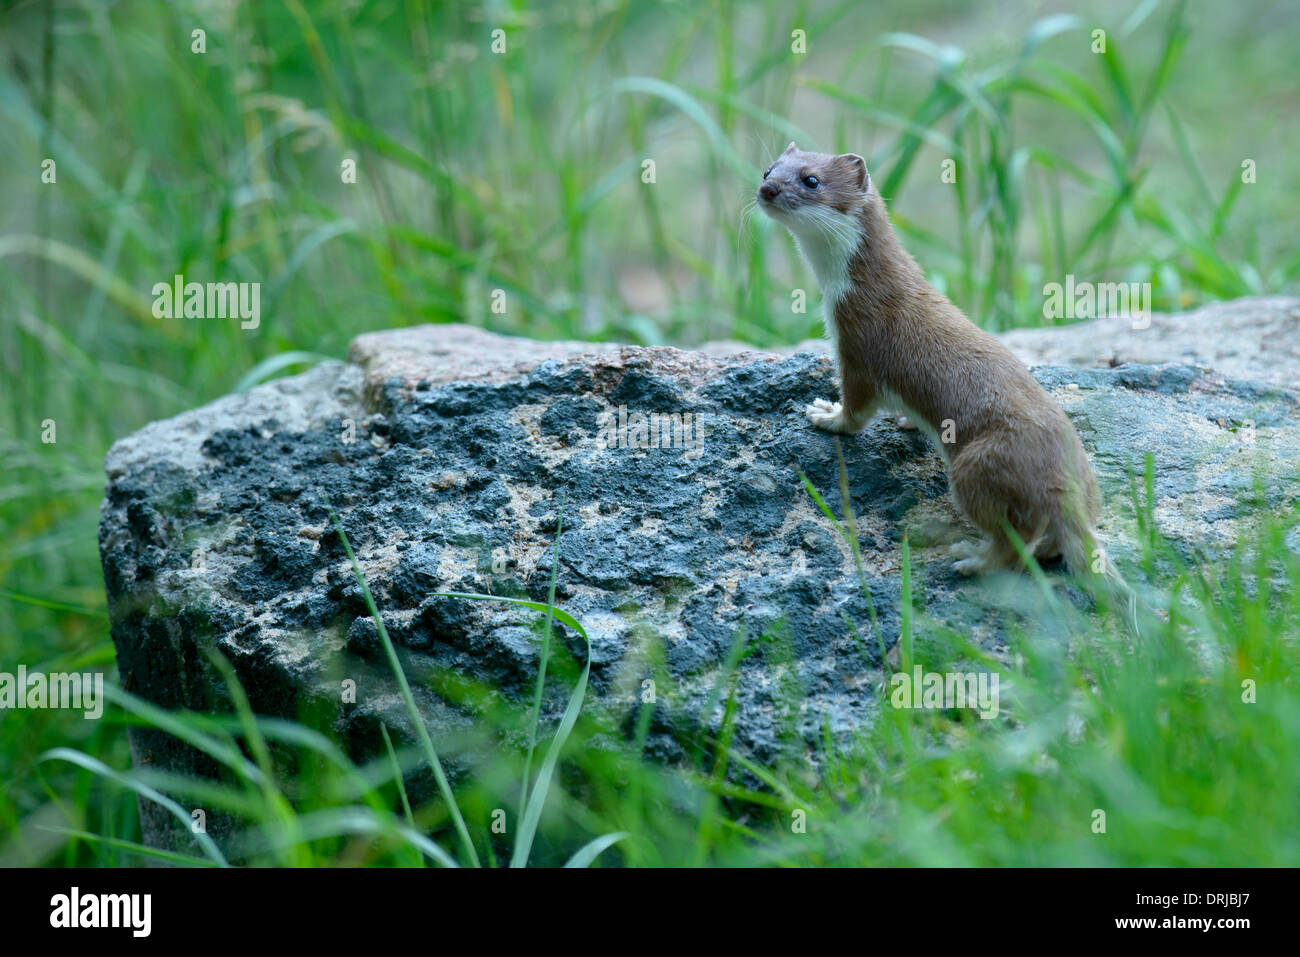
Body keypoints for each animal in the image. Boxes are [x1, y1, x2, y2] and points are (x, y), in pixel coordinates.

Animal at [759, 143, 1133, 621]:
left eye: (811, 179)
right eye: (770, 169)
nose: (767, 189)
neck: (837, 291)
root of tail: (1064, 487)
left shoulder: (859, 348)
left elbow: (856, 410)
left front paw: (825, 414)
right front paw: (905, 421)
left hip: (974, 468)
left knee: (1013, 544)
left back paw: (971, 558)